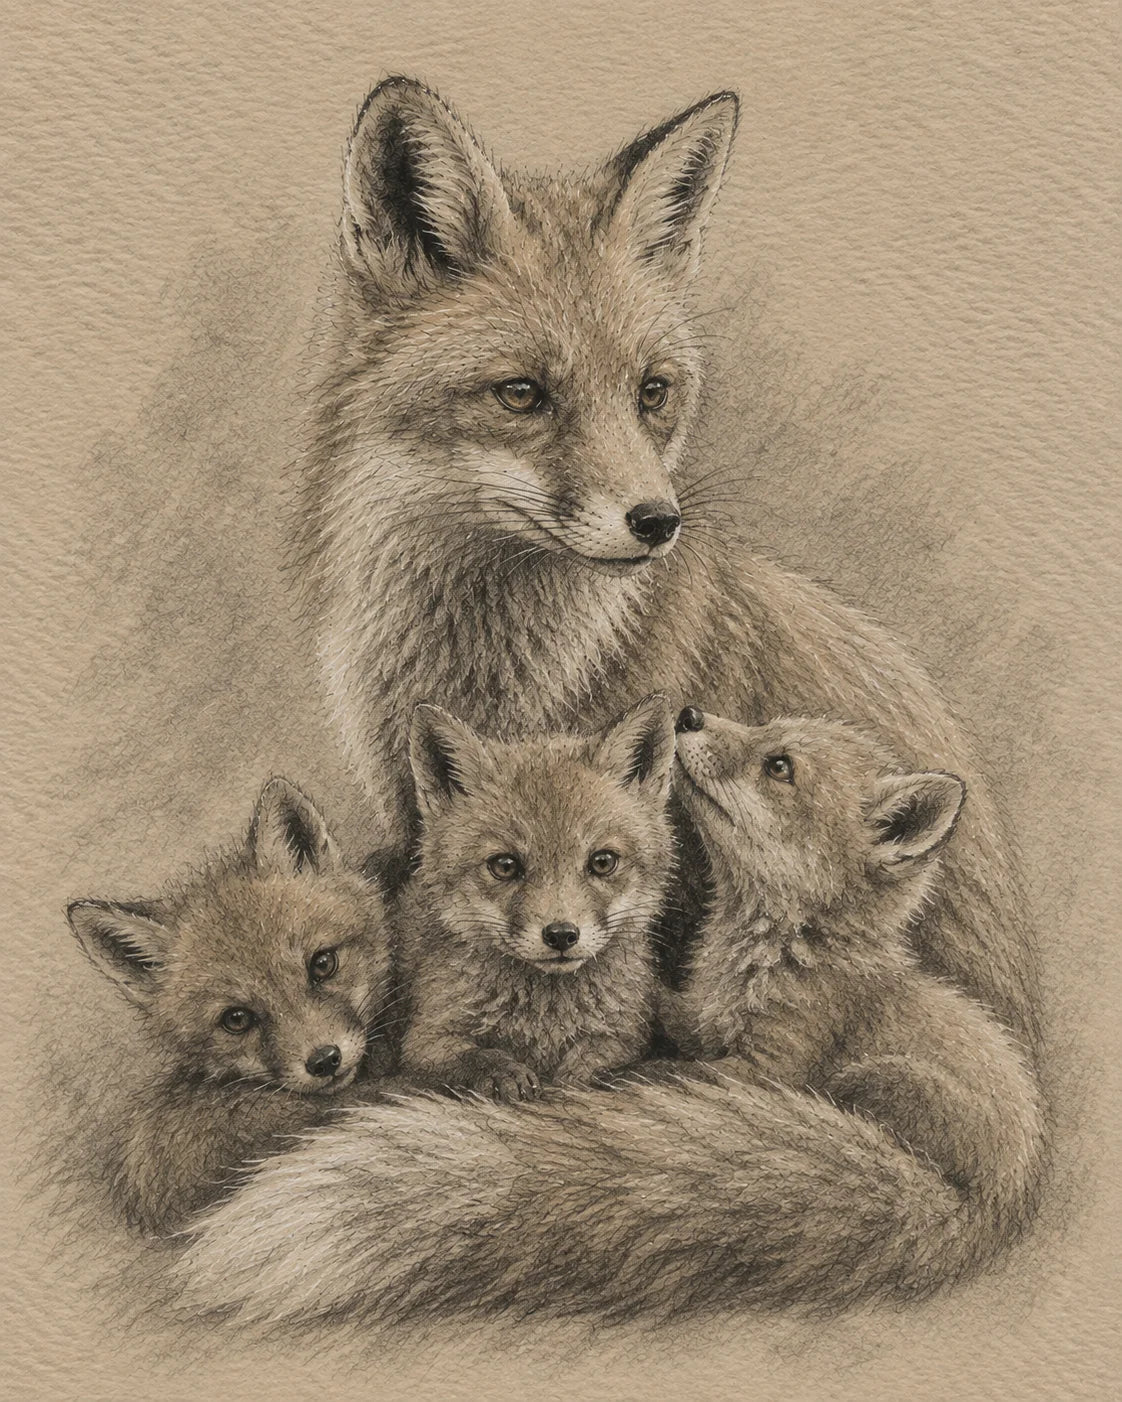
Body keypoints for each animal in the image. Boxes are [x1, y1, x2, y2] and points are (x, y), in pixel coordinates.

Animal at [397, 696, 675, 1099]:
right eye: (505, 866)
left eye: (602, 862)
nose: (561, 935)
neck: (545, 1021)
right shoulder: (426, 1039)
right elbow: (479, 1056)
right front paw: (504, 1073)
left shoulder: (625, 1035)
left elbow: (591, 1063)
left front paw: (571, 1083)